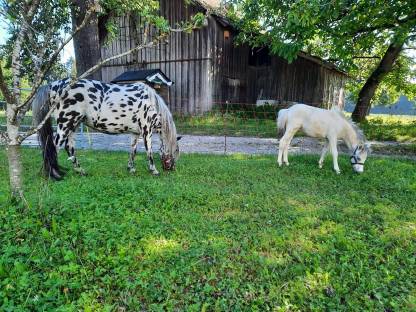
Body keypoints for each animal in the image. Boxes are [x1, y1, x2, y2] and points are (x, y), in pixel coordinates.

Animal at [31, 78, 181, 179]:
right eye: (175, 150)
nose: (171, 168)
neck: (151, 103)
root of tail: (53, 85)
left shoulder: (135, 133)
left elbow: (133, 151)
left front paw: (131, 168)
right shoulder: (146, 131)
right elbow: (149, 151)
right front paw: (154, 170)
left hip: (72, 126)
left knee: (69, 148)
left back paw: (80, 171)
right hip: (66, 124)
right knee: (54, 147)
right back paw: (54, 174)